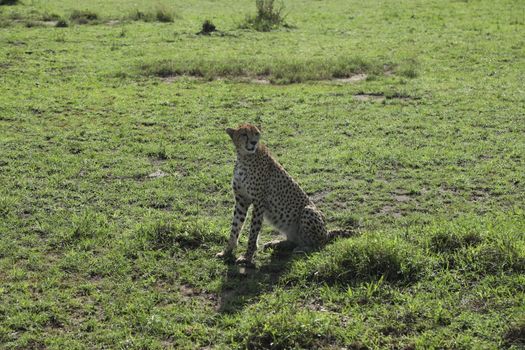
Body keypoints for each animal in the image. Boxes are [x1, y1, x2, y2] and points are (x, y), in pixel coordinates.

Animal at [215, 123, 350, 266]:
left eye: (256, 133)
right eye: (244, 134)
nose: (254, 142)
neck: (244, 157)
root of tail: (327, 232)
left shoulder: (258, 202)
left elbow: (253, 232)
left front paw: (247, 257)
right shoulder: (241, 200)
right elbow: (235, 227)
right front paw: (226, 252)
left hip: (308, 211)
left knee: (318, 244)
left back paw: (303, 248)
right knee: (293, 240)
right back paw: (276, 244)